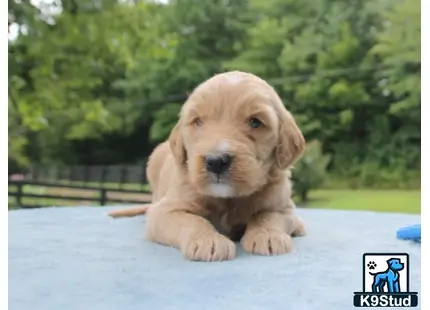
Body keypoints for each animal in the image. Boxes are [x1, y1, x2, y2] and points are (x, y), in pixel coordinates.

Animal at [109, 71, 308, 262]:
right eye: (198, 121)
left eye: (255, 122)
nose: (216, 161)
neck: (228, 199)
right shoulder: (165, 211)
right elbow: (192, 220)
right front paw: (208, 240)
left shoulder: (282, 205)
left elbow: (267, 215)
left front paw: (268, 234)